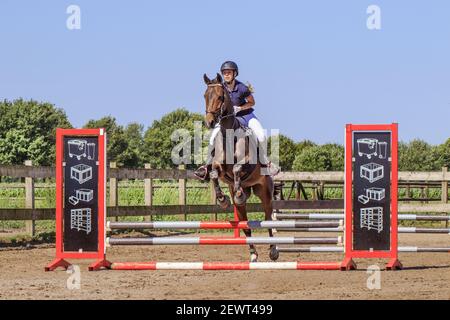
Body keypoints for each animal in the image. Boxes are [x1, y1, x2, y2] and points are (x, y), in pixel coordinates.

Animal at [201, 73, 276, 262]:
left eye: (220, 97)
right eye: (205, 96)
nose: (210, 122)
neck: (229, 136)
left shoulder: (248, 163)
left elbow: (236, 169)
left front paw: (238, 194)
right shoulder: (218, 166)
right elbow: (214, 174)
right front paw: (223, 200)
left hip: (265, 193)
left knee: (269, 220)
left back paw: (273, 251)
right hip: (245, 204)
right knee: (246, 225)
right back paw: (253, 254)